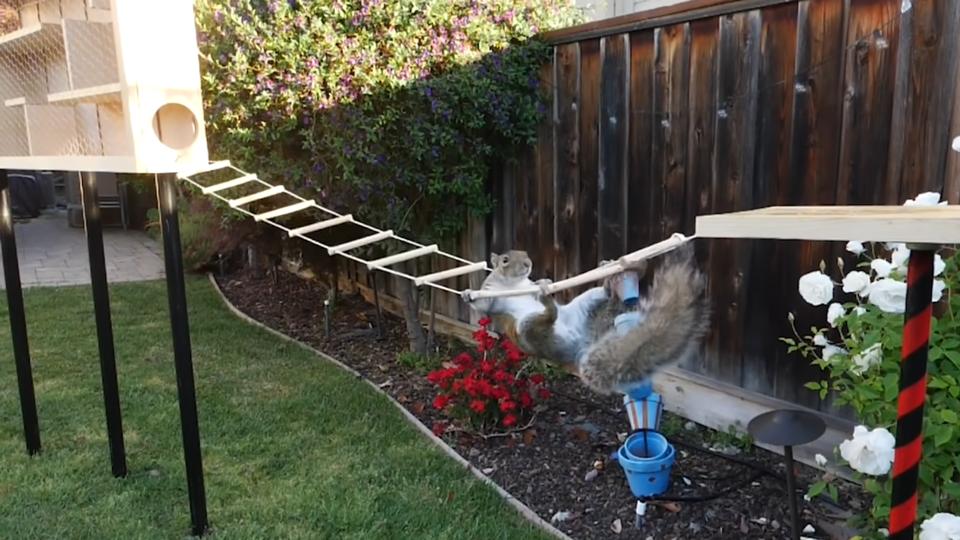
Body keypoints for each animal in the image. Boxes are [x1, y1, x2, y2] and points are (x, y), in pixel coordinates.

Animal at [463, 244, 710, 395]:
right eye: (505, 260)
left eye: (525, 253)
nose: (527, 264)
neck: (513, 284)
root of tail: (579, 346)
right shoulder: (492, 295)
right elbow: (483, 305)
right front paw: (467, 294)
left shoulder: (527, 285)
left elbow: (533, 286)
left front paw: (544, 280)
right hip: (527, 329)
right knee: (548, 318)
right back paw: (548, 301)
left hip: (587, 302)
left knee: (606, 293)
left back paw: (619, 271)